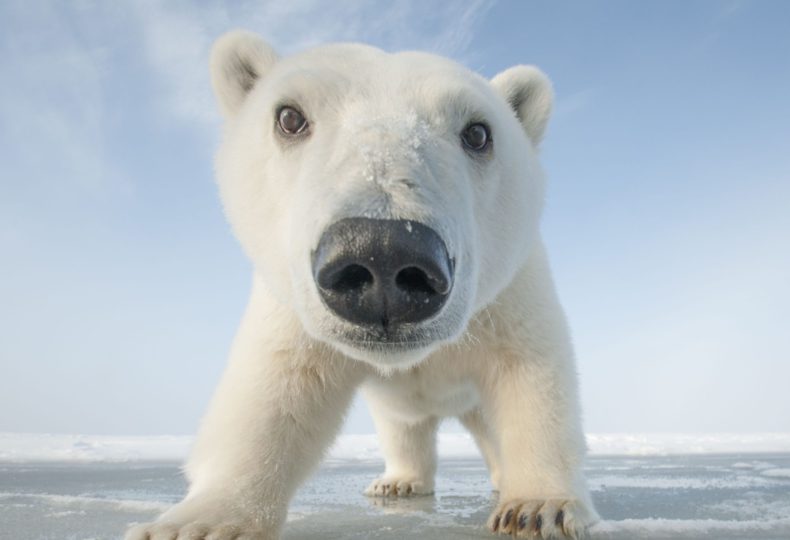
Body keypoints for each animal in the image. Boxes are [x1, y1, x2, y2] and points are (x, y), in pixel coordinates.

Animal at [125, 30, 598, 540]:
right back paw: (398, 482)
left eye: (478, 133)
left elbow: (532, 378)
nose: (383, 253)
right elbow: (275, 392)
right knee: (403, 426)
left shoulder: (509, 296)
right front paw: (196, 523)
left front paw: (539, 507)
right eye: (289, 117)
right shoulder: (292, 313)